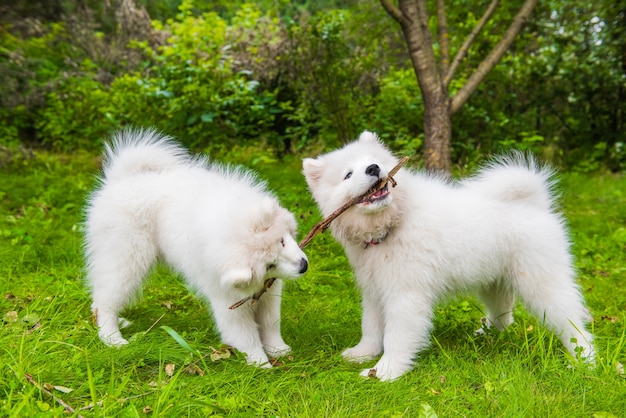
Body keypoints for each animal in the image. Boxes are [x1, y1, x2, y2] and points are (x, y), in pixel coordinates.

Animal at [83, 129, 308, 368]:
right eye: (269, 264)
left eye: (282, 242)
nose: (303, 266)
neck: (228, 223)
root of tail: (120, 180)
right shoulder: (228, 301)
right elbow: (244, 334)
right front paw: (260, 364)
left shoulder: (270, 290)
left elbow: (270, 322)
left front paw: (278, 349)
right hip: (126, 257)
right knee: (105, 299)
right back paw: (112, 337)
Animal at [304, 131, 592, 382]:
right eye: (348, 174)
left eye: (375, 161)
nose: (374, 168)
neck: (392, 223)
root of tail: (535, 203)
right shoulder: (375, 289)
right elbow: (371, 327)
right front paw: (363, 353)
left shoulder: (406, 294)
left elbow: (396, 336)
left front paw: (385, 372)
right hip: (493, 281)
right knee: (504, 315)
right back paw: (486, 334)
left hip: (541, 284)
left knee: (574, 324)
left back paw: (585, 360)